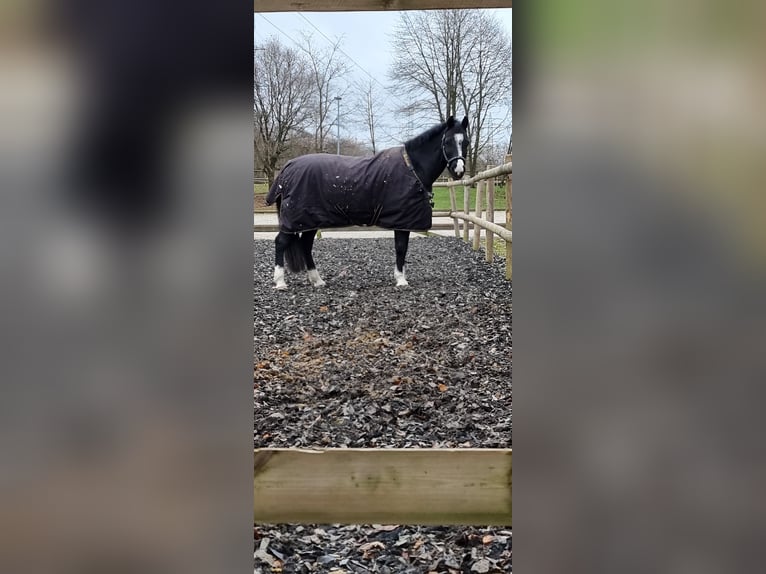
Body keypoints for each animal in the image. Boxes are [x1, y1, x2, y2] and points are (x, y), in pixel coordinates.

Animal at [270, 115, 472, 290]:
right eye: (447, 142)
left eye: (466, 142)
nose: (459, 170)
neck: (412, 168)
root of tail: (287, 168)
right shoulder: (402, 220)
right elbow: (401, 248)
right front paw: (401, 280)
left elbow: (402, 249)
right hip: (298, 219)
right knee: (281, 242)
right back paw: (280, 282)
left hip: (310, 220)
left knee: (306, 245)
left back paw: (317, 280)